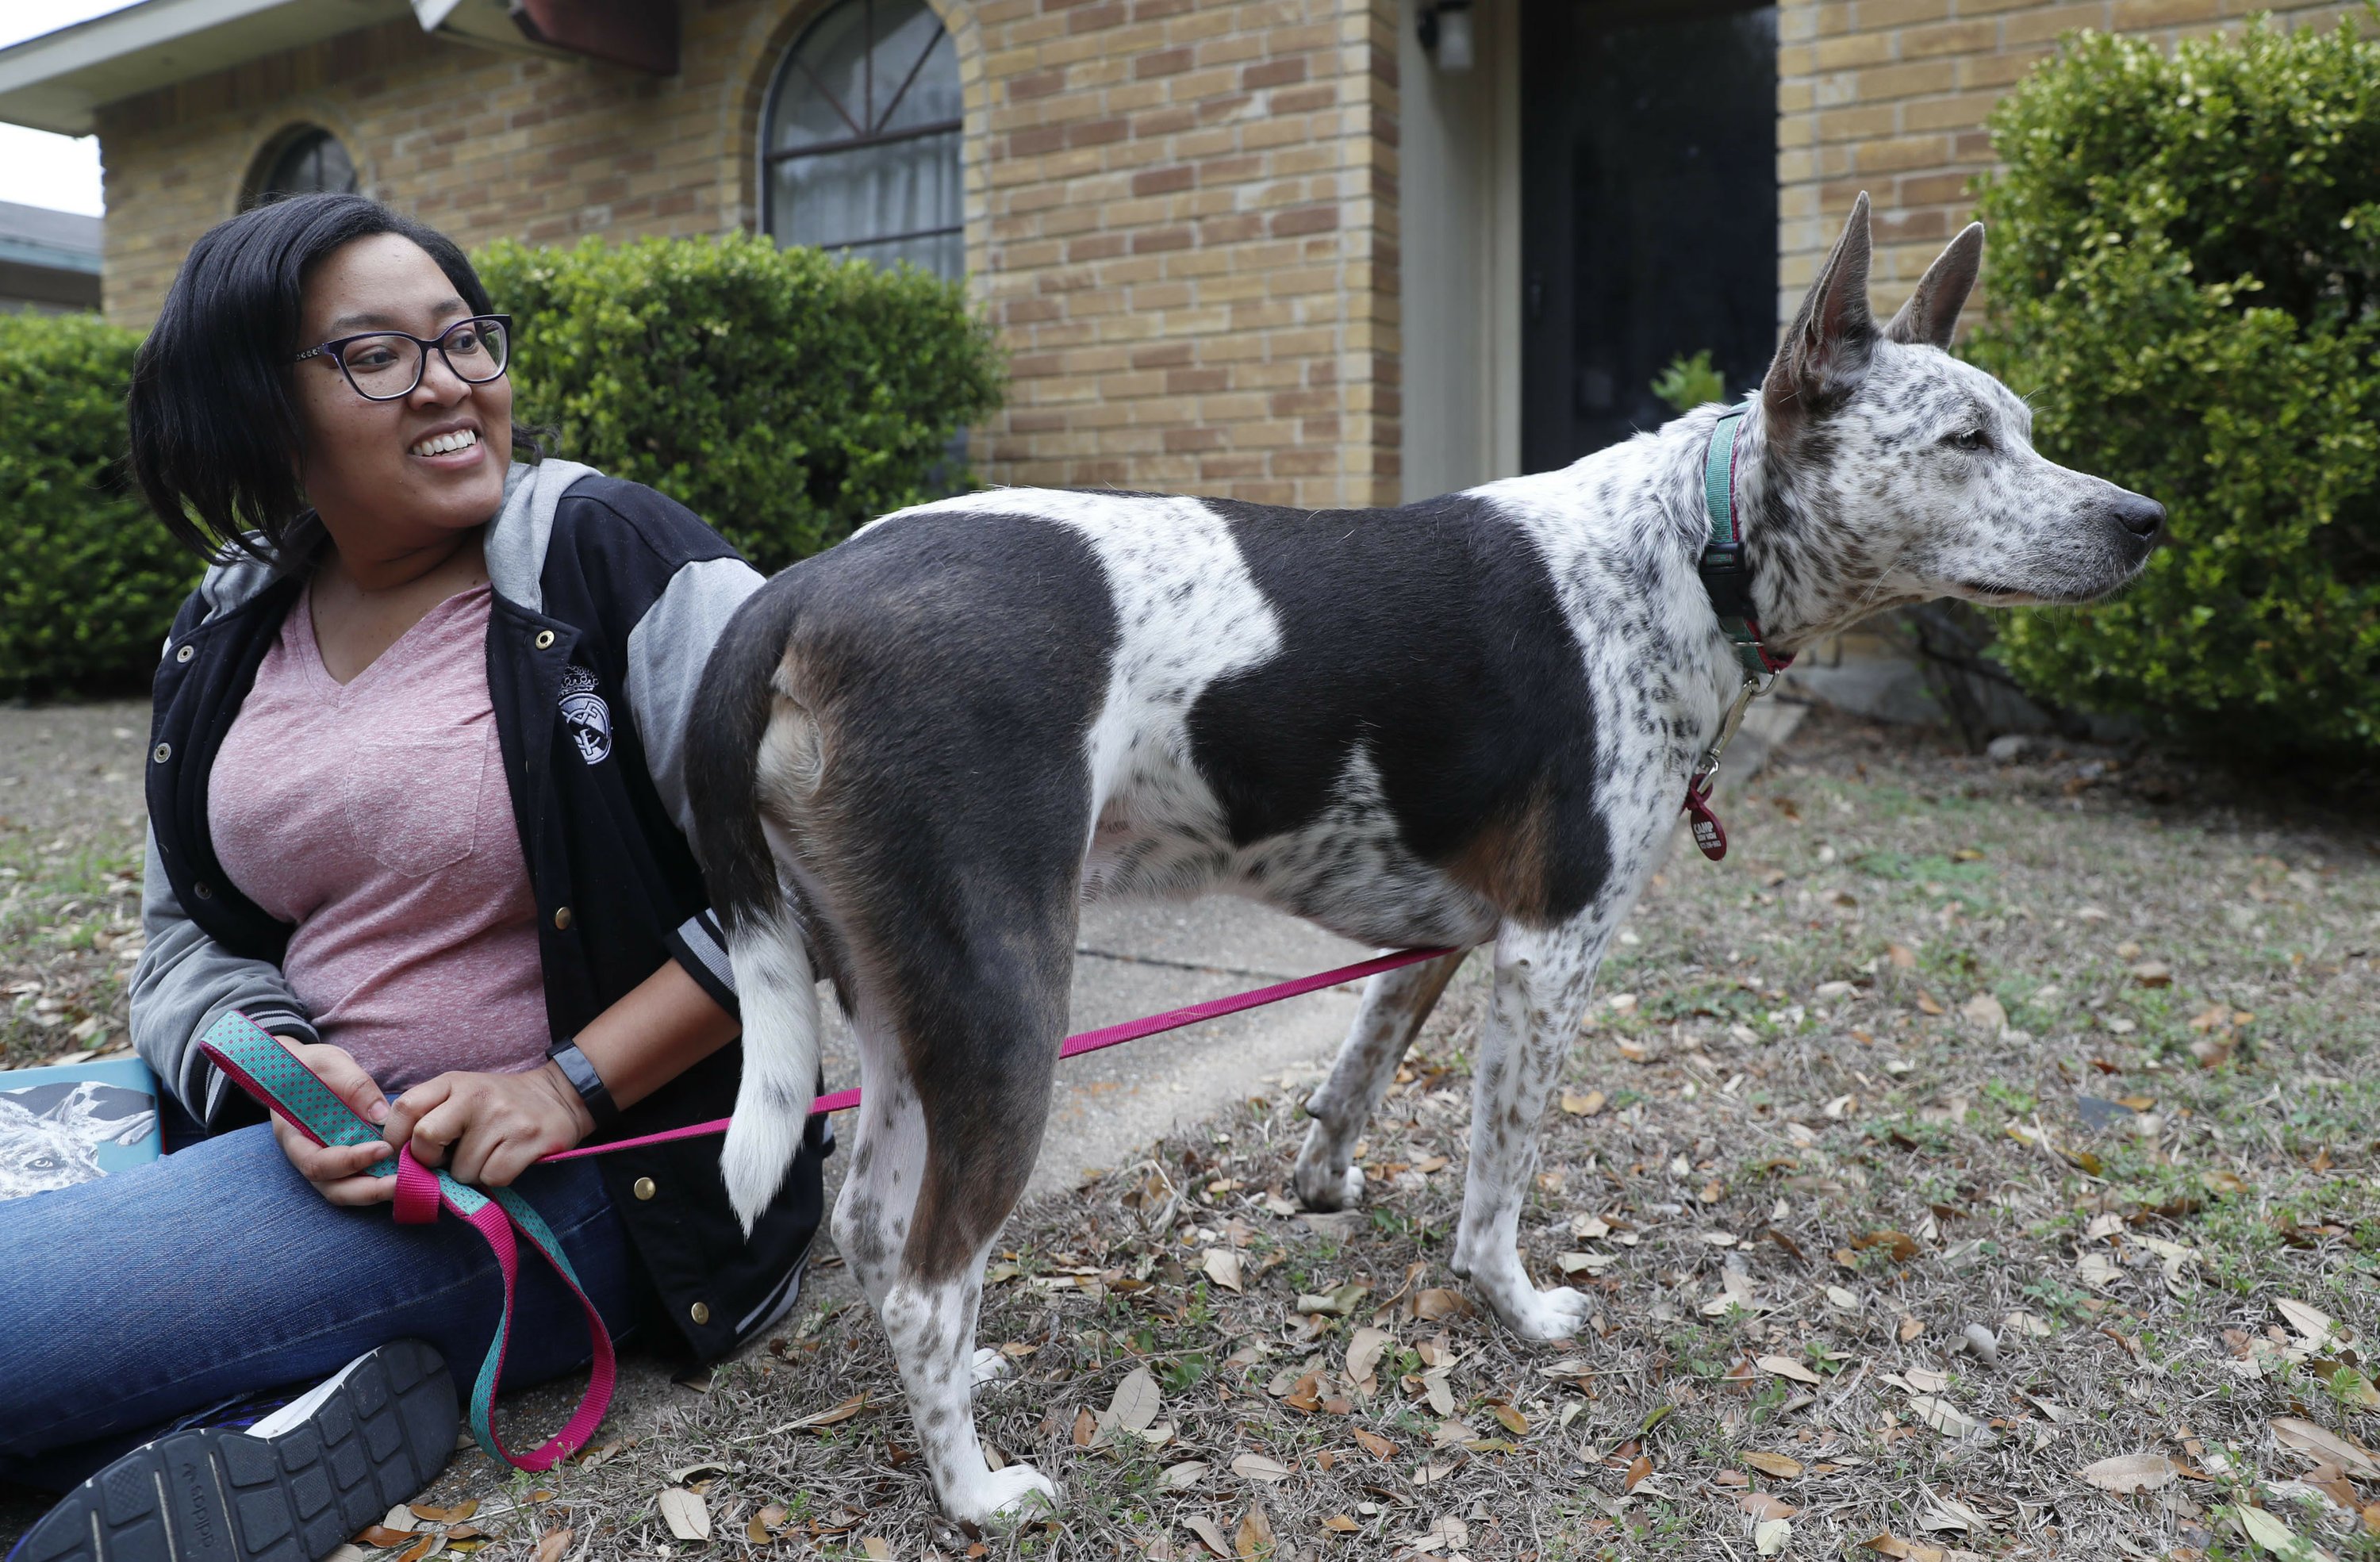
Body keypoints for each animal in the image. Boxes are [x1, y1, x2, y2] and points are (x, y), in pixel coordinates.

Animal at [681, 198, 2171, 1523]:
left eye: (2023, 427)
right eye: (1966, 439)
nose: (2147, 519)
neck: (1696, 547)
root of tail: (803, 584)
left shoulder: (1452, 932)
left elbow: (1362, 1061)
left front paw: (1324, 1181)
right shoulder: (1551, 950)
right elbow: (1497, 1176)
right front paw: (1515, 1305)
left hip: (900, 995)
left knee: (873, 1229)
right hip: (1006, 1004)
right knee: (927, 1272)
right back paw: (977, 1491)